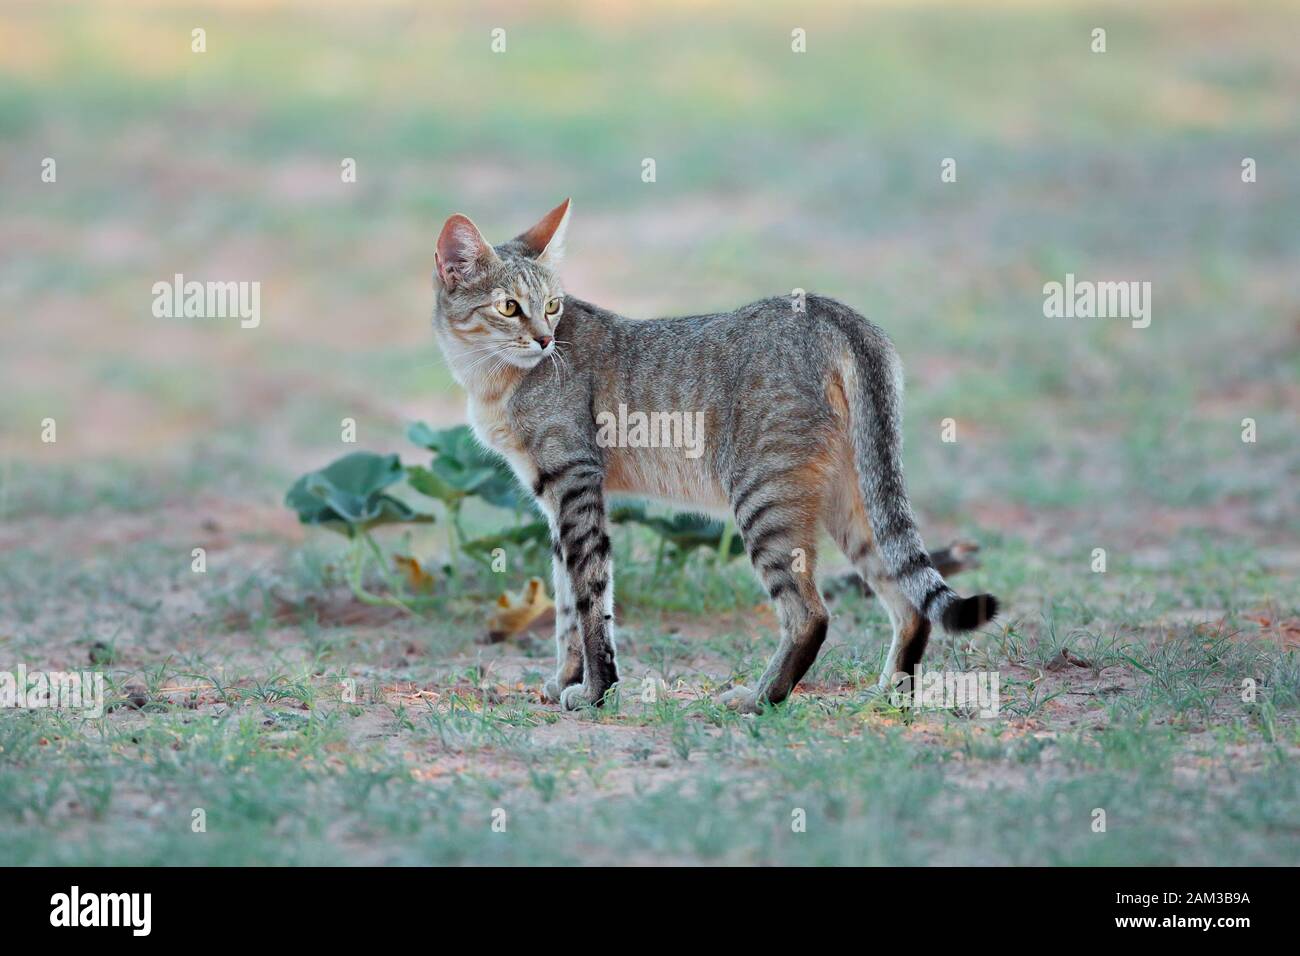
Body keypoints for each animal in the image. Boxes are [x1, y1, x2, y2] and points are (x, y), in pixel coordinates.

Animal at [431, 200, 998, 712]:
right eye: (509, 307)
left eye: (552, 305)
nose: (546, 340)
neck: (490, 379)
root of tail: (830, 312)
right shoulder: (552, 500)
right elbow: (567, 603)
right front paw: (566, 679)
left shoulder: (575, 485)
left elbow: (591, 602)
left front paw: (595, 692)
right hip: (855, 504)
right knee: (910, 604)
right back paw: (888, 696)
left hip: (763, 498)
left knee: (811, 614)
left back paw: (760, 698)